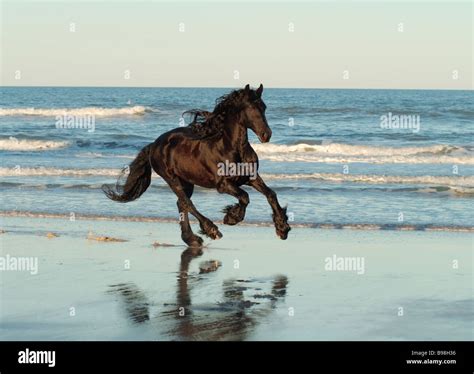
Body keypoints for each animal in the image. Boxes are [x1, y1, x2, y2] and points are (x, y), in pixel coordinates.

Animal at [102, 85, 290, 248]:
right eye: (250, 107)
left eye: (264, 107)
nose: (266, 135)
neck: (231, 149)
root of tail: (154, 144)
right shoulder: (223, 185)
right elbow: (244, 197)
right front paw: (231, 217)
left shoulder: (250, 178)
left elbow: (271, 194)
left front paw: (282, 229)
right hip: (171, 179)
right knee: (187, 203)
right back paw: (211, 230)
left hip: (187, 181)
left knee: (181, 204)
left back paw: (191, 239)